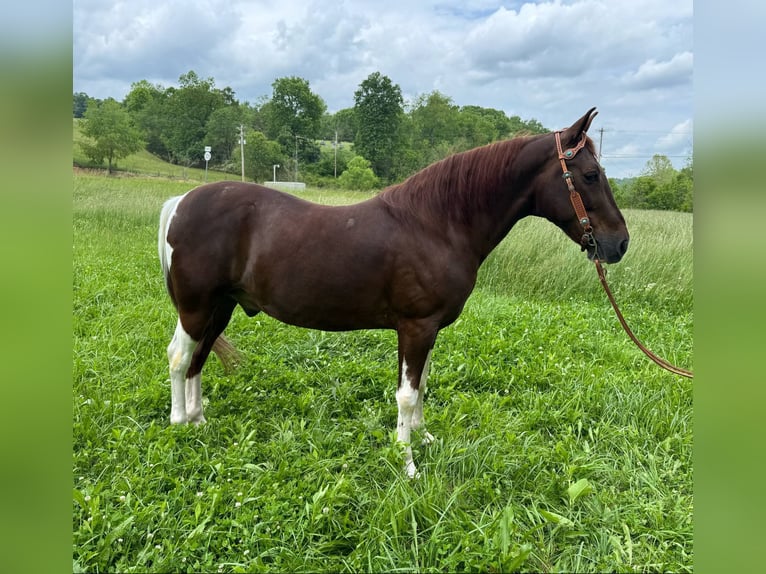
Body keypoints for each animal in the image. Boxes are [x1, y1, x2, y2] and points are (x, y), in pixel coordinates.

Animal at [158, 107, 628, 478]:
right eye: (590, 175)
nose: (620, 244)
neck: (436, 224)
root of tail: (180, 202)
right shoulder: (416, 327)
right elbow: (406, 393)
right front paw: (407, 462)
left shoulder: (428, 328)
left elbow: (421, 386)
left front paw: (423, 438)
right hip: (197, 307)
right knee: (180, 356)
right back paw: (179, 422)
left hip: (220, 307)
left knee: (199, 358)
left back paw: (199, 420)